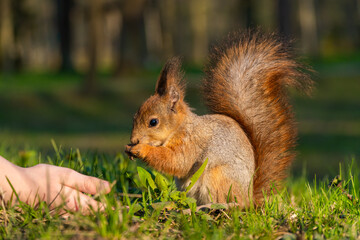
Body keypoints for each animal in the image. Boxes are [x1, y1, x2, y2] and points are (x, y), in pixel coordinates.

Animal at [124, 30, 312, 205]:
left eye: (153, 122)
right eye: (134, 117)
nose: (133, 140)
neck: (180, 128)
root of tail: (249, 197)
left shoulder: (191, 143)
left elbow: (177, 161)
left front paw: (141, 149)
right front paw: (129, 149)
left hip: (218, 177)